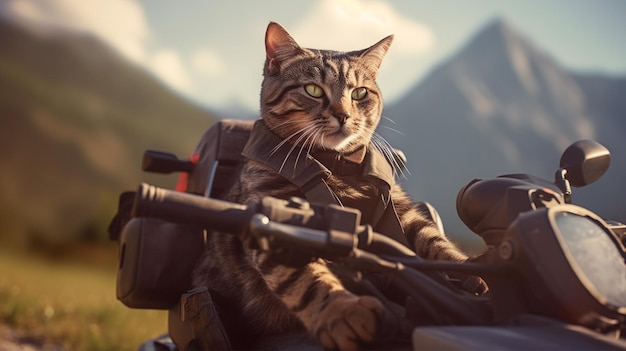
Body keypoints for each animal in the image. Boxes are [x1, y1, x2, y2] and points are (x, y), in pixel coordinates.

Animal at [193, 22, 486, 351]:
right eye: (313, 90)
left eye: (360, 93)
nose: (343, 115)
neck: (338, 165)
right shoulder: (278, 219)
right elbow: (307, 281)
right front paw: (341, 311)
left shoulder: (403, 212)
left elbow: (437, 243)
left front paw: (475, 272)